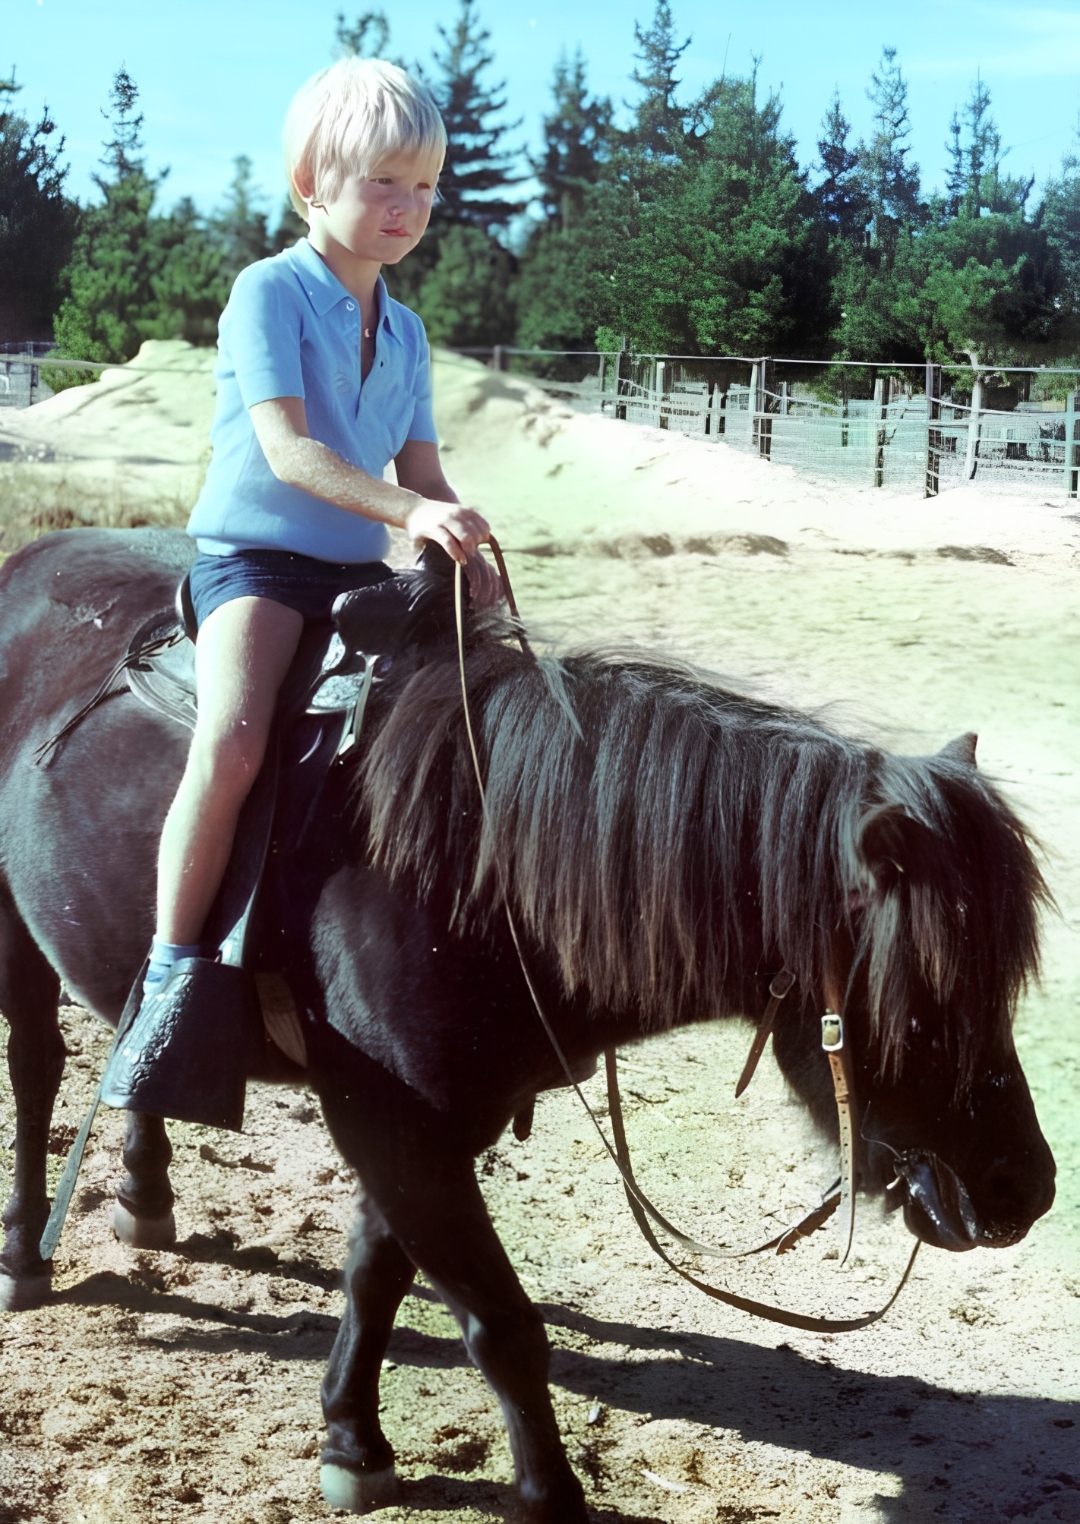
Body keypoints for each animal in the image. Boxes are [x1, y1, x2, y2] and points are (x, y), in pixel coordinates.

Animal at [0, 527, 1056, 1523]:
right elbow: (502, 1324)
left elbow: (376, 1270)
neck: (473, 868)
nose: (1025, 1189)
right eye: (923, 1000)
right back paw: (23, 1253)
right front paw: (549, 1493)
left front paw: (352, 1438)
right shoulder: (393, 1123)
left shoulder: (427, 1131)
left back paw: (143, 1189)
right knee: (37, 1068)